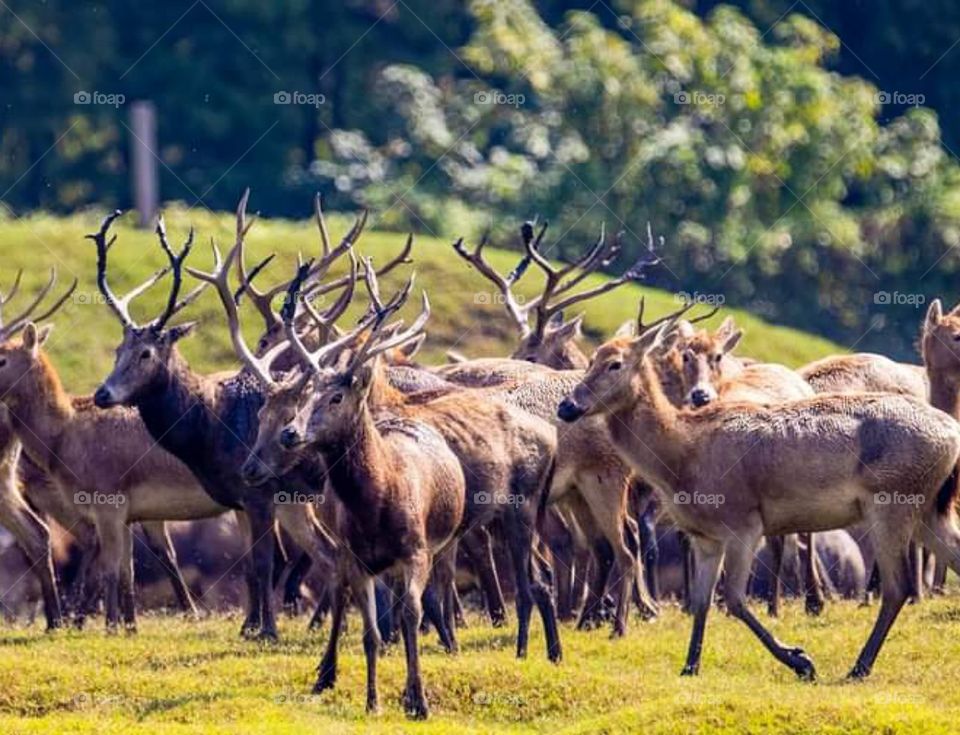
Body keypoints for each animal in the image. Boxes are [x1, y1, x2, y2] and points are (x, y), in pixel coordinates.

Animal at [557, 313, 960, 680]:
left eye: (614, 363)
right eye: (590, 359)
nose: (567, 406)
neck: (682, 458)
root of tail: (952, 434)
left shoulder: (744, 522)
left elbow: (734, 599)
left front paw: (801, 660)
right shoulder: (705, 537)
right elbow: (702, 601)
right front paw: (689, 666)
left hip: (892, 501)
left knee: (898, 586)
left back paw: (859, 667)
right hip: (928, 508)